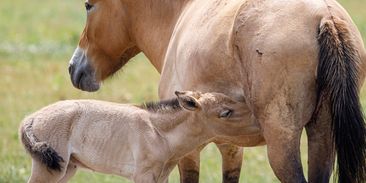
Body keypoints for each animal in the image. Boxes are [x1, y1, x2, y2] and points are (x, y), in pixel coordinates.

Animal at [20, 91, 258, 182]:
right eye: (225, 112)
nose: (258, 121)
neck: (158, 132)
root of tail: (31, 118)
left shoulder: (161, 177)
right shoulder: (143, 176)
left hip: (66, 169)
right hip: (48, 170)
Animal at [68, 0, 366, 183]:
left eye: (88, 5)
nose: (73, 67)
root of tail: (324, 16)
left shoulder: (187, 150)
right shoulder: (232, 147)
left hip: (282, 145)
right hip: (322, 136)